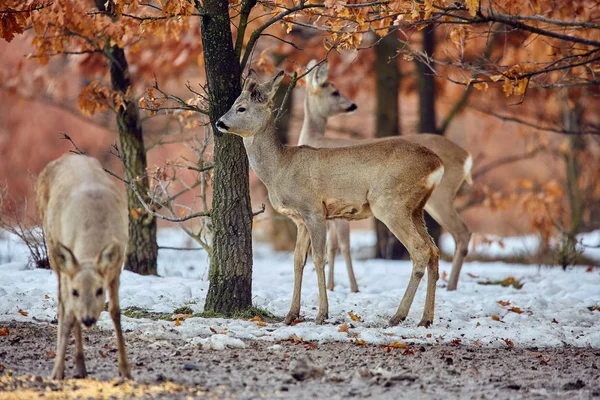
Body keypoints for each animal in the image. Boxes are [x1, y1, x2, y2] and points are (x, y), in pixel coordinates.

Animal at [36, 152, 130, 378]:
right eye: (76, 291)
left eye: (99, 290)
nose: (88, 319)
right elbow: (68, 314)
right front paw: (56, 372)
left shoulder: (116, 268)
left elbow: (115, 312)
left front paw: (125, 370)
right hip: (52, 246)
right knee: (62, 305)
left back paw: (80, 365)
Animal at [217, 71, 446, 328]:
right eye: (235, 104)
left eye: (241, 108)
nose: (219, 122)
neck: (280, 168)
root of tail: (437, 164)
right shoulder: (299, 219)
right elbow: (297, 260)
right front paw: (291, 314)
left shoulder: (314, 211)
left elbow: (318, 258)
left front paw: (321, 314)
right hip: (416, 208)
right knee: (433, 250)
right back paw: (426, 318)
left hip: (390, 203)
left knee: (420, 250)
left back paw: (398, 315)